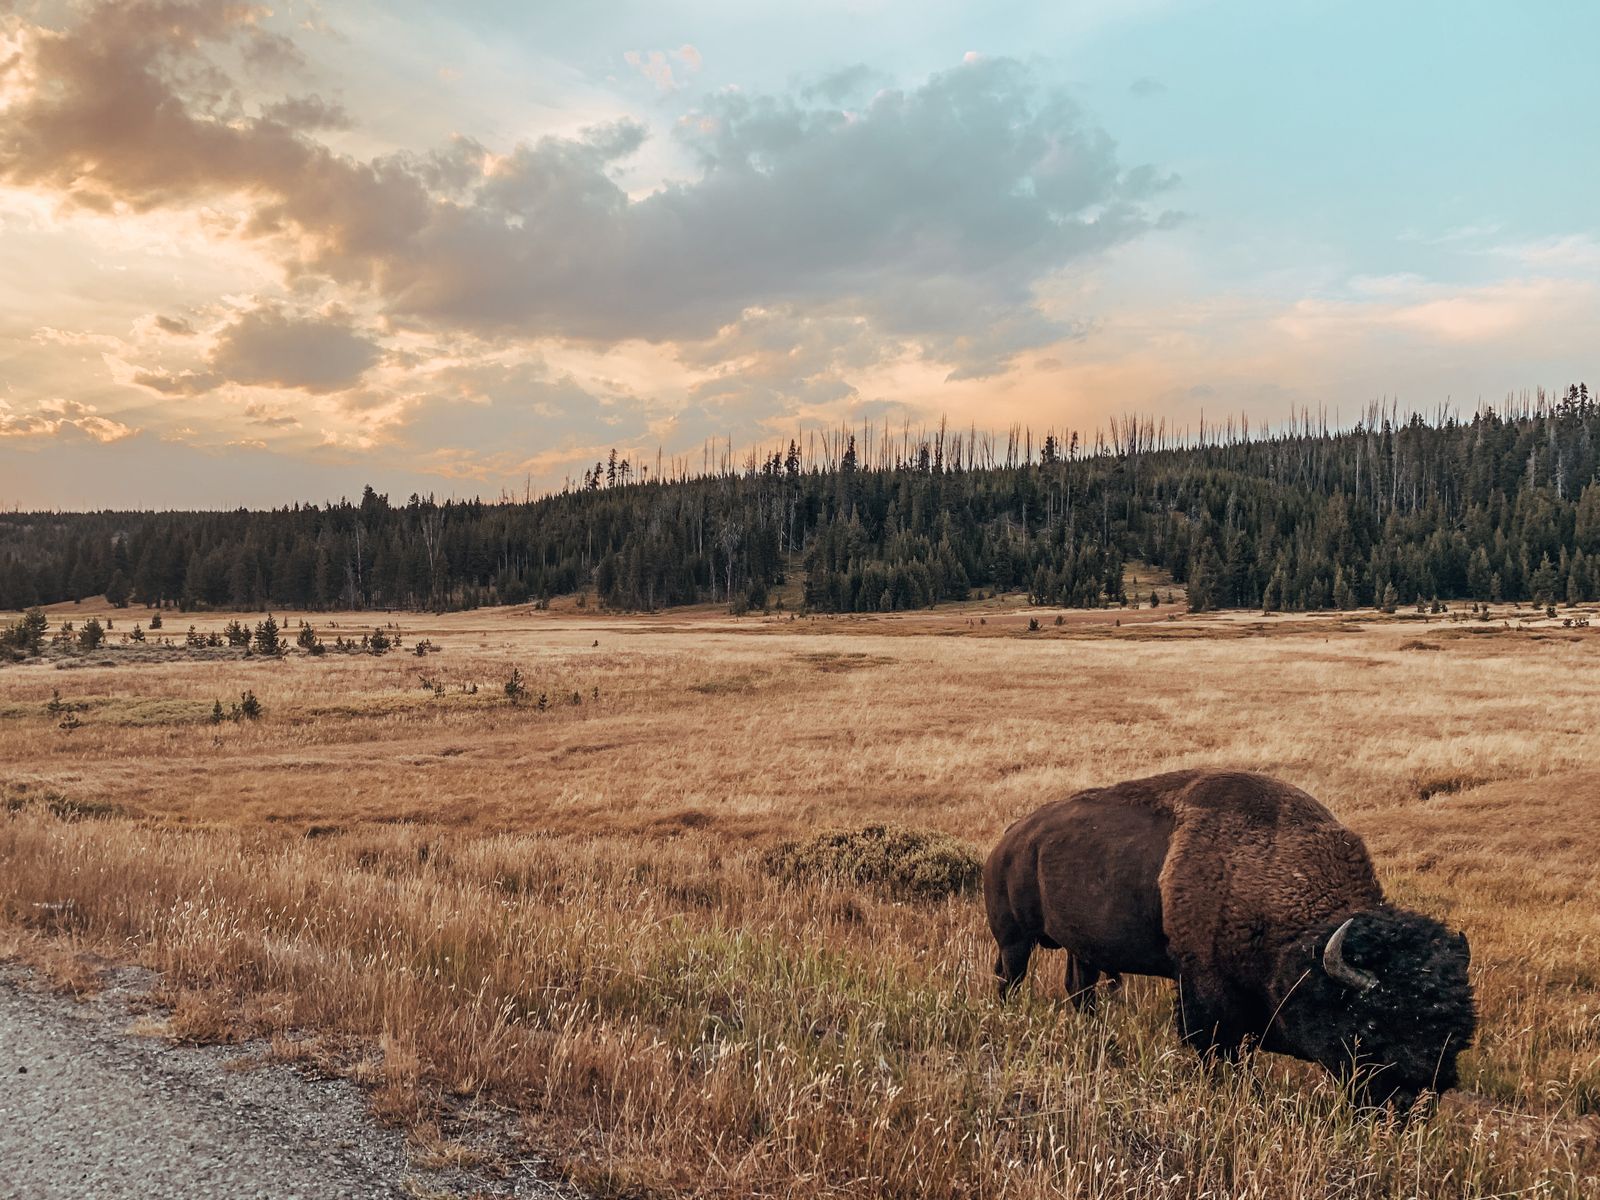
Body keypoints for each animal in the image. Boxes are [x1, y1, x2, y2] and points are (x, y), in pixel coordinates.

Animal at [984, 769, 1476, 1111]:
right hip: (1014, 939)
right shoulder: (1206, 994)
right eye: (1370, 1025)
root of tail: (1009, 839)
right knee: (1010, 978)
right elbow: (1218, 1050)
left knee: (1079, 988)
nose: (1412, 1099)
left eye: (1458, 1033)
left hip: (1081, 948)